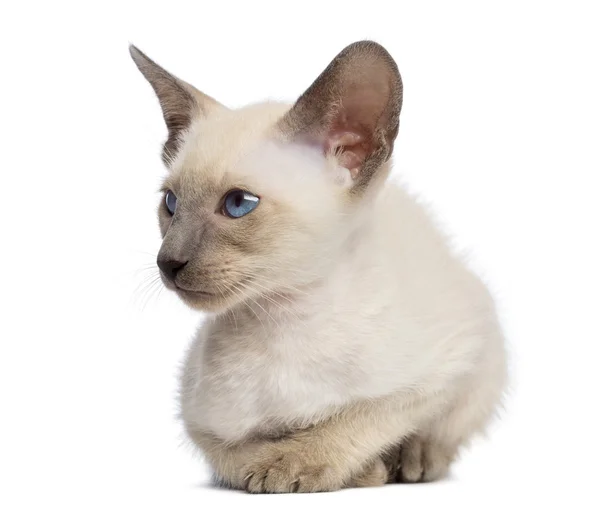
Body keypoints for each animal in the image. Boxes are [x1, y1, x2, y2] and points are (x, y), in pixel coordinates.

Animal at [130, 42, 506, 494]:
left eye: (238, 204)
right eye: (170, 204)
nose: (167, 261)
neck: (283, 319)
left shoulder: (450, 362)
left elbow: (363, 418)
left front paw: (300, 465)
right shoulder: (200, 421)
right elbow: (234, 457)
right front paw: (351, 471)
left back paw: (414, 461)